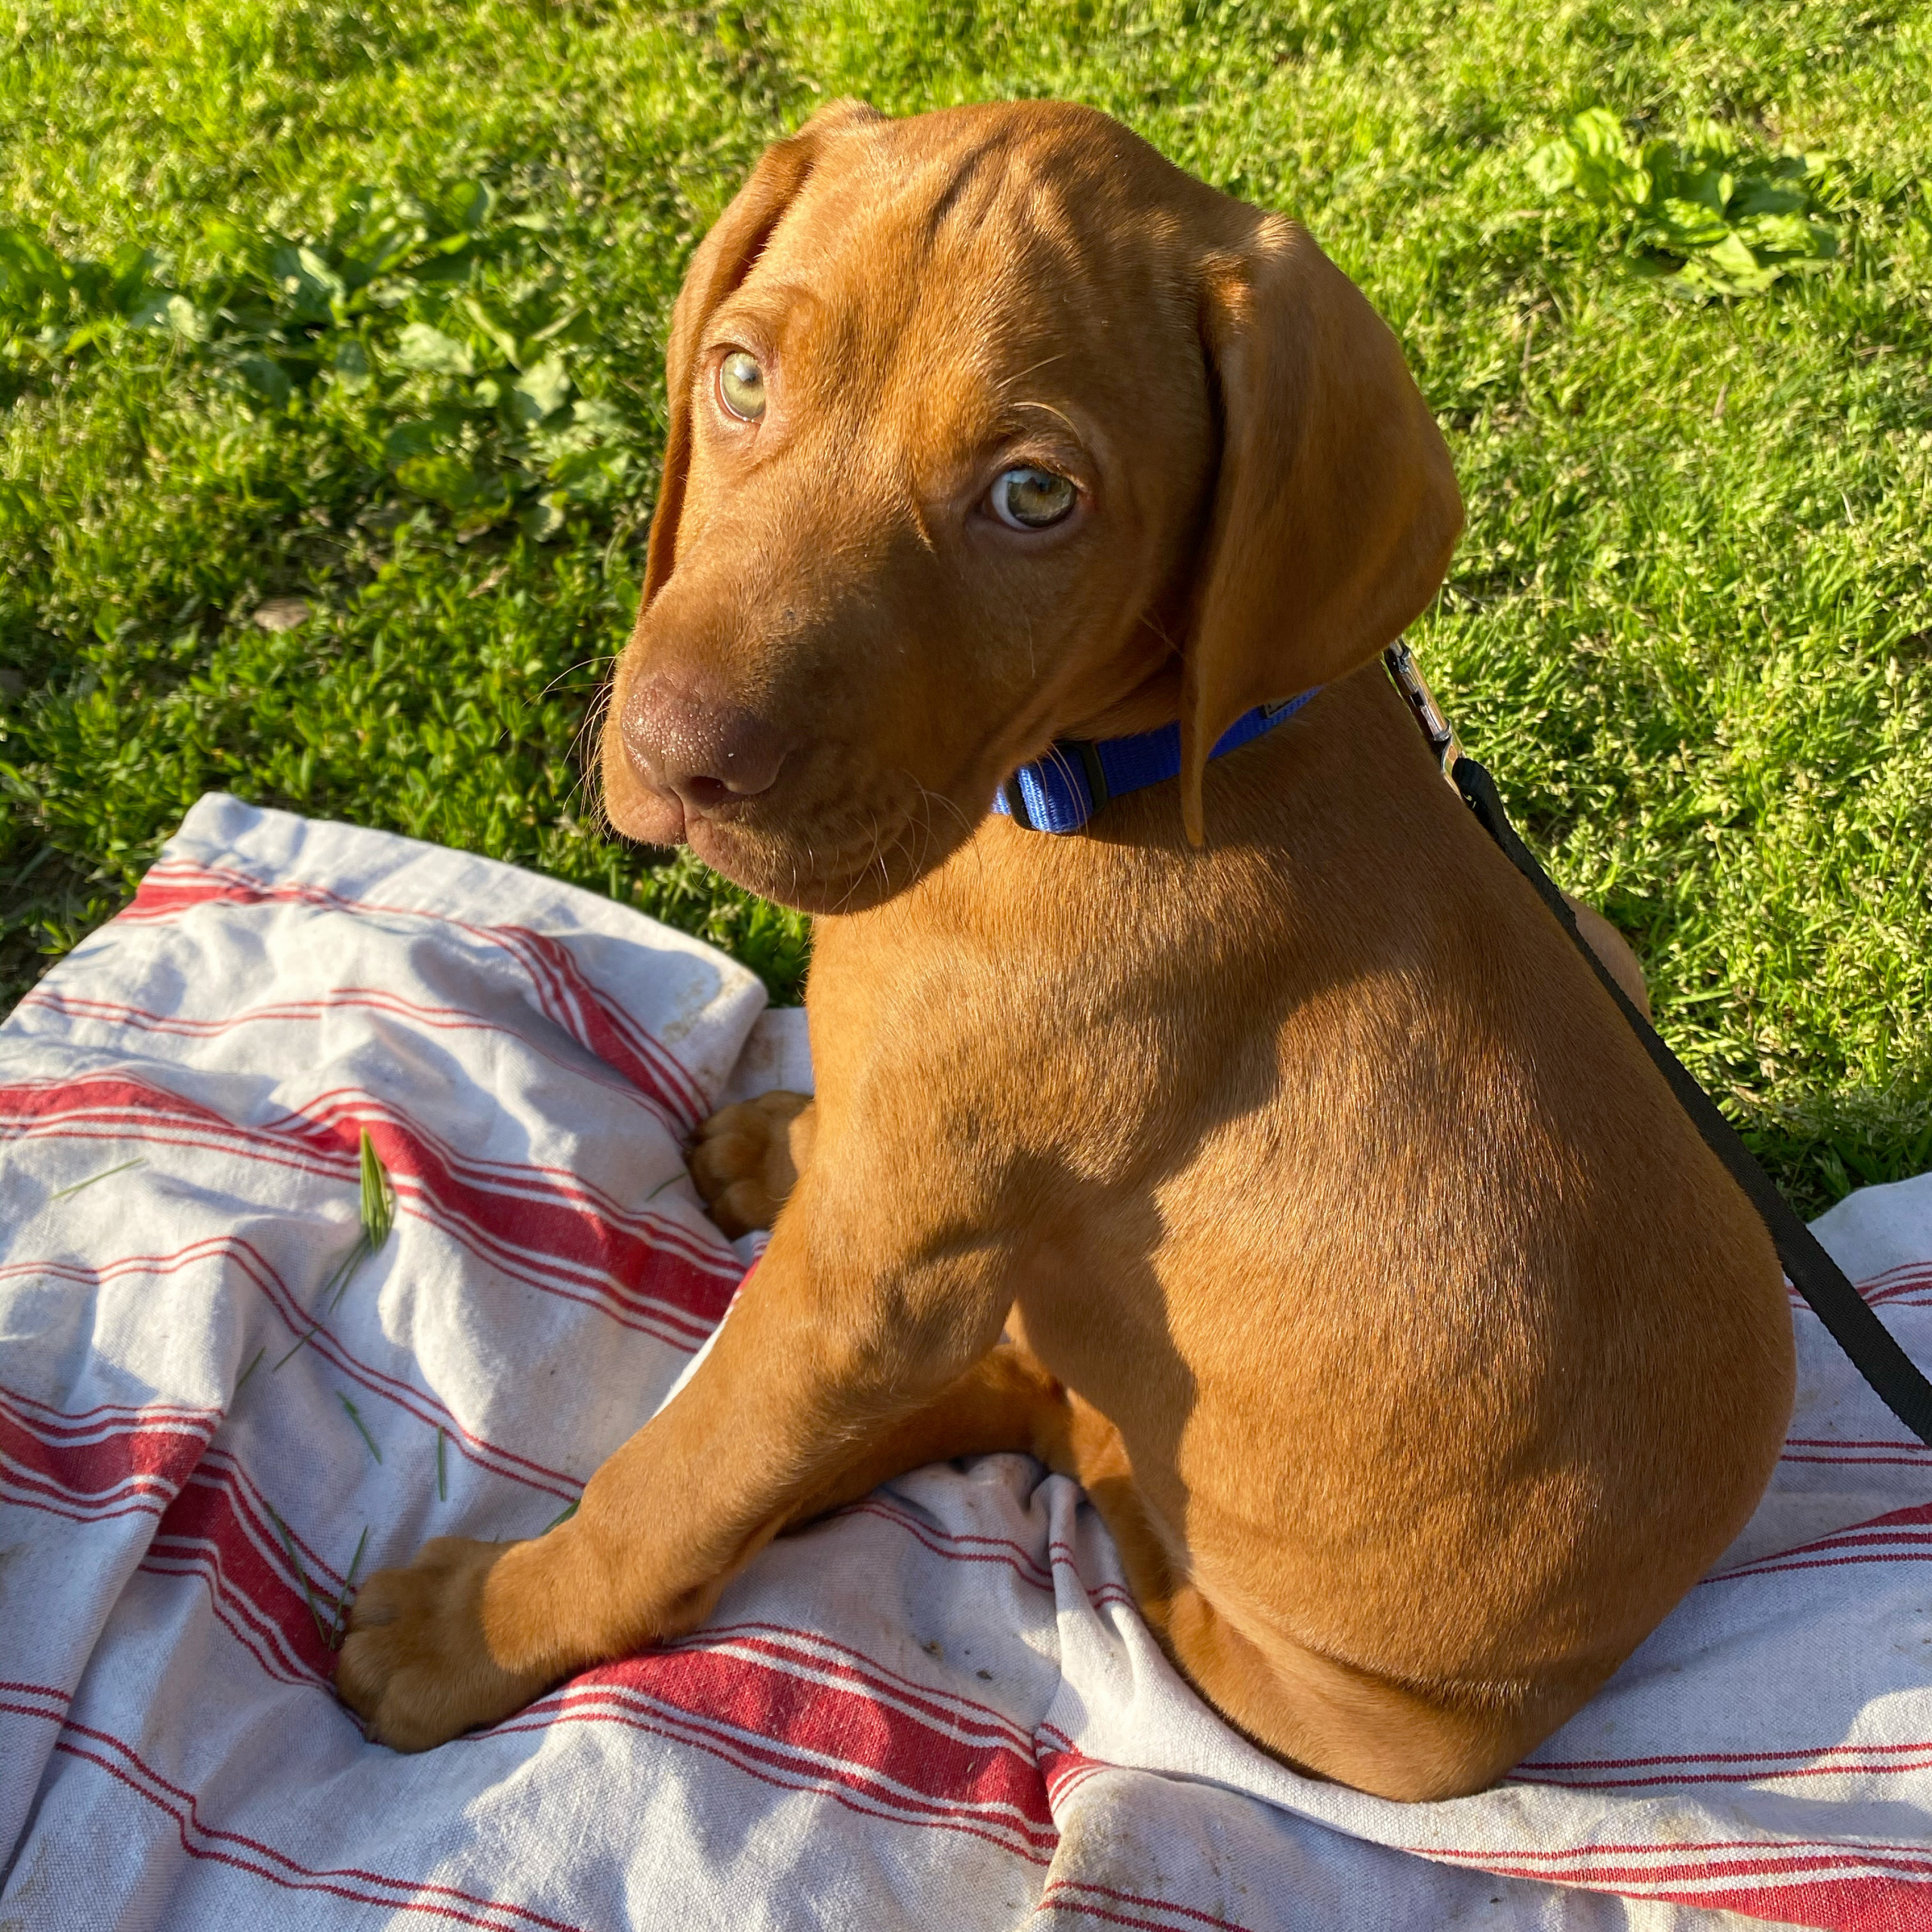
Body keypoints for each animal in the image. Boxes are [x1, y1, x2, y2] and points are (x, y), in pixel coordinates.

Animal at [343, 102, 1792, 1792]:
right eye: (742, 378)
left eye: (1034, 498)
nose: (674, 757)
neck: (1076, 790)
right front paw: (792, 1136)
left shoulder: (865, 1296)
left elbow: (679, 1477)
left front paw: (479, 1631)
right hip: (1608, 942)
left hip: (1314, 1695)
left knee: (1069, 1436)